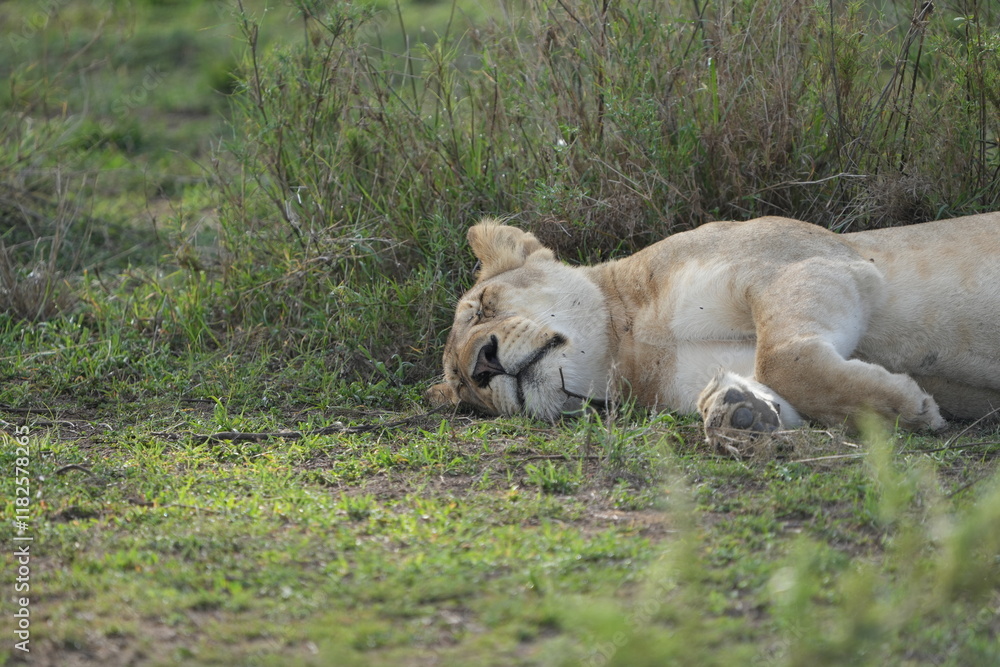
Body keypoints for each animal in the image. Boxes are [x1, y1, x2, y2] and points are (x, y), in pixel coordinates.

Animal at [426, 214, 1000, 445]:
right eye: (463, 390)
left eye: (482, 307)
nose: (482, 365)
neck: (633, 349)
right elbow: (780, 383)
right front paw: (741, 412)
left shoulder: (810, 263)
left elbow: (784, 359)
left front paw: (911, 407)